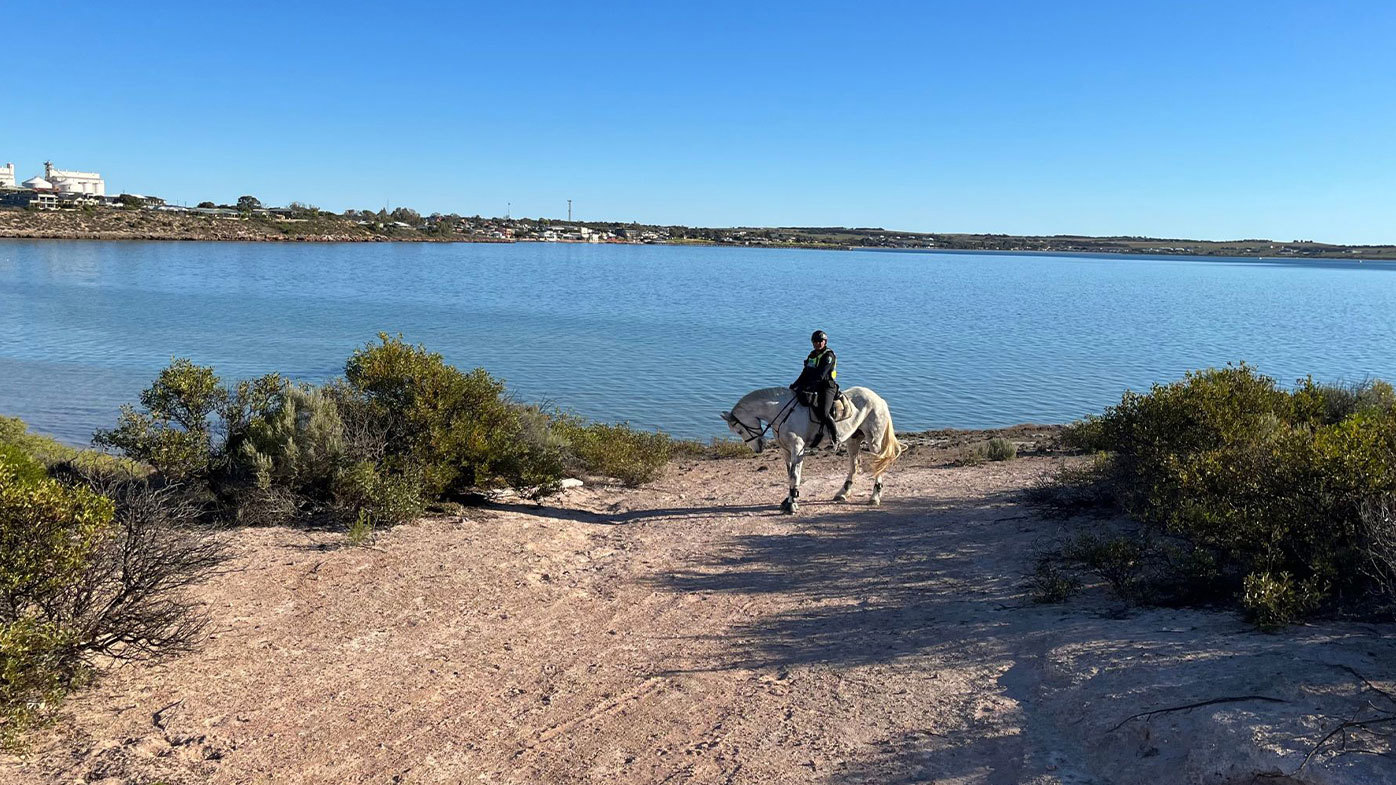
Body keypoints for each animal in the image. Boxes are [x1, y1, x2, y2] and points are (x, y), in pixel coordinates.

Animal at [720, 385, 904, 514]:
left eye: (739, 430)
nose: (758, 448)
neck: (783, 413)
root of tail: (878, 398)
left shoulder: (797, 449)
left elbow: (795, 475)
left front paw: (792, 504)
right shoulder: (786, 451)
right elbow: (790, 474)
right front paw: (788, 500)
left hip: (874, 441)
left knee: (878, 464)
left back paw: (875, 497)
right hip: (853, 439)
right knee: (854, 465)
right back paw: (843, 493)